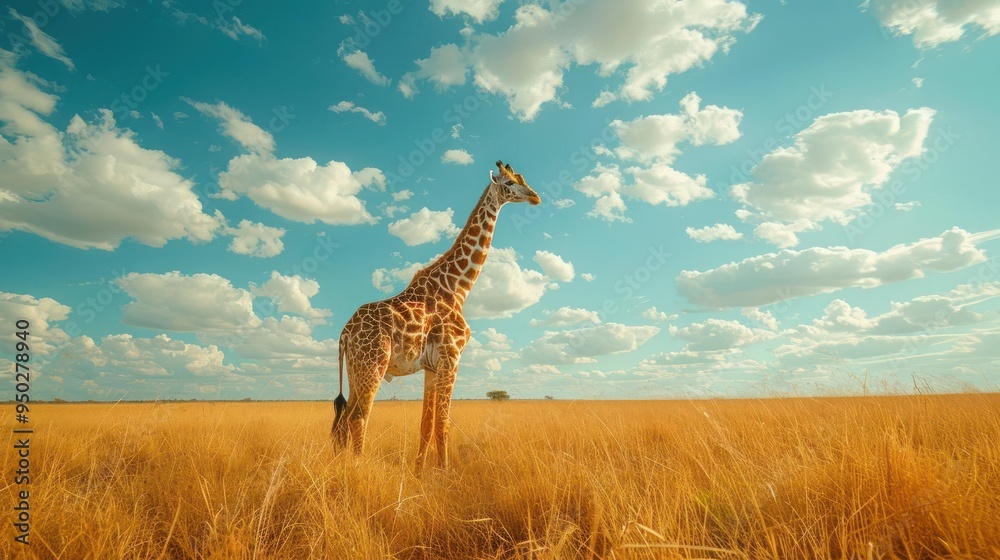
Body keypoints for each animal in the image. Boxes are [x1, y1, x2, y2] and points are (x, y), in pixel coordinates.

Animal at [332, 160, 541, 469]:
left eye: (522, 178)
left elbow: (426, 424)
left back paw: (341, 465)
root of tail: (345, 333)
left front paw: (420, 470)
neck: (458, 287)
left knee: (344, 418)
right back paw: (357, 467)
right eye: (509, 183)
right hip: (373, 364)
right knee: (358, 417)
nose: (535, 197)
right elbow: (443, 423)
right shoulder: (451, 358)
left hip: (354, 368)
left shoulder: (431, 367)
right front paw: (445, 471)